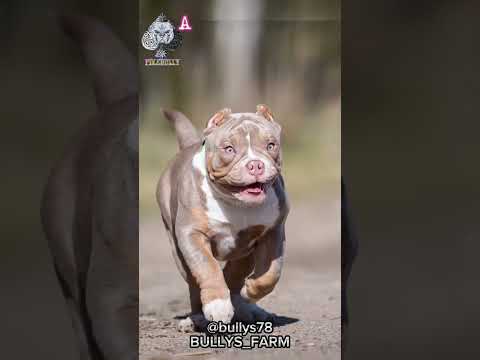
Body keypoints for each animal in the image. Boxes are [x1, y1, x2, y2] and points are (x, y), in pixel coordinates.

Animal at [158, 105, 288, 330]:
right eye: (229, 149)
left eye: (271, 145)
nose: (256, 165)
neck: (236, 202)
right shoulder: (192, 234)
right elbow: (207, 267)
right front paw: (218, 306)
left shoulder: (272, 231)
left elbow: (271, 273)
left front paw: (249, 292)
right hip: (177, 250)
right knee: (195, 282)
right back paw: (197, 317)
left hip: (245, 252)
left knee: (235, 273)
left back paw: (248, 307)